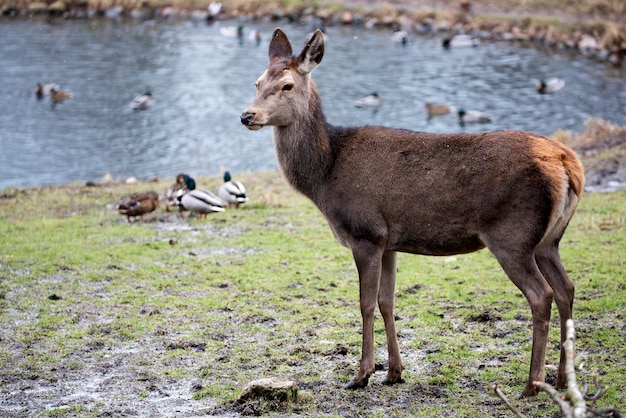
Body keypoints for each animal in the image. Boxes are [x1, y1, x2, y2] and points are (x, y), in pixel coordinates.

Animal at [240, 27, 584, 396]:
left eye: (287, 85)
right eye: (257, 82)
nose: (247, 115)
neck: (326, 176)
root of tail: (568, 163)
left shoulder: (365, 233)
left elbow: (364, 303)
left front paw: (361, 374)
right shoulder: (388, 242)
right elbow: (387, 302)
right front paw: (394, 371)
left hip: (512, 235)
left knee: (541, 295)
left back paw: (532, 384)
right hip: (548, 240)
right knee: (566, 289)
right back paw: (562, 379)